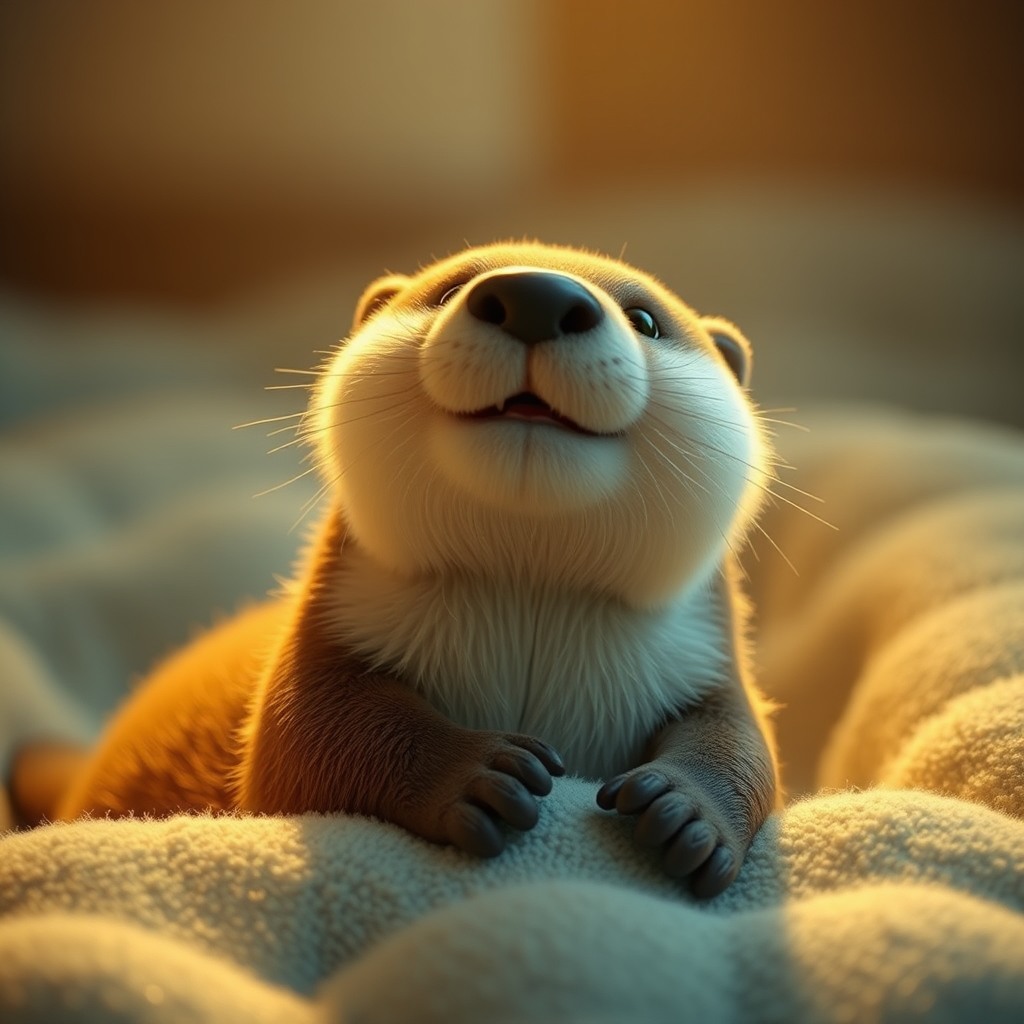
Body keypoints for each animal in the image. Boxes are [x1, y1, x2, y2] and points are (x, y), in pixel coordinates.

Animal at [25, 242, 779, 899]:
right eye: (447, 290)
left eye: (646, 319)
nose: (536, 295)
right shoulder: (329, 630)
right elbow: (309, 736)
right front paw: (478, 774)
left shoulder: (705, 661)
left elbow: (745, 745)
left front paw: (686, 811)